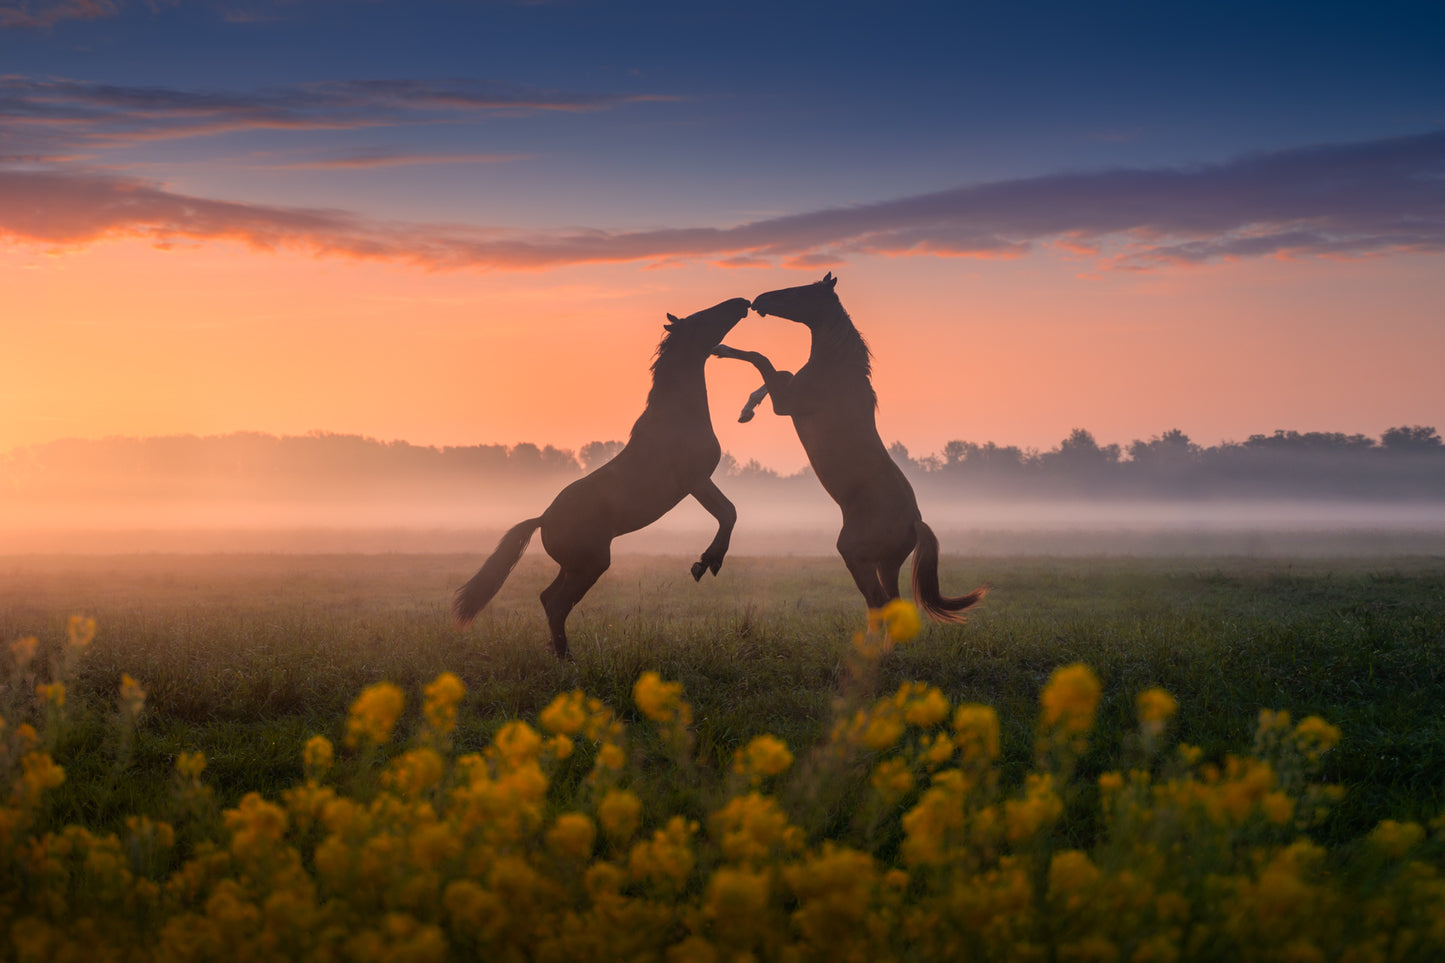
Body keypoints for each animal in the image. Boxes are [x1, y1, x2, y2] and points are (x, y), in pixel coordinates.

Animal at [454, 296, 752, 659]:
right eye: (702, 318)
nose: (741, 303)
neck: (679, 416)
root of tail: (542, 519)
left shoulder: (699, 482)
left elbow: (728, 513)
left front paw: (706, 562)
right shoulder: (696, 480)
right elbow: (728, 512)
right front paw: (707, 563)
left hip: (574, 567)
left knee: (547, 598)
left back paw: (560, 653)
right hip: (590, 564)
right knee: (556, 604)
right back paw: (568, 660)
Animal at [712, 273, 986, 621]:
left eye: (801, 292)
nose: (758, 301)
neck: (836, 371)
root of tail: (914, 523)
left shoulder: (786, 404)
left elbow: (763, 359)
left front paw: (720, 349)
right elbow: (778, 370)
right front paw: (746, 411)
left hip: (856, 556)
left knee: (878, 601)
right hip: (886, 564)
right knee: (890, 604)